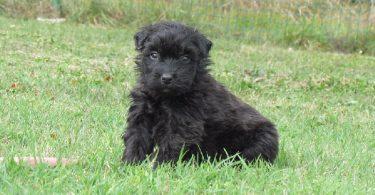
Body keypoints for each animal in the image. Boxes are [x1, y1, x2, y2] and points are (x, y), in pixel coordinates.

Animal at [122, 22, 280, 166]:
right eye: (154, 55)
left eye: (185, 58)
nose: (167, 78)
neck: (164, 97)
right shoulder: (140, 116)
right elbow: (136, 139)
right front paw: (130, 164)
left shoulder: (182, 124)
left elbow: (170, 144)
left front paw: (160, 167)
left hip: (262, 139)